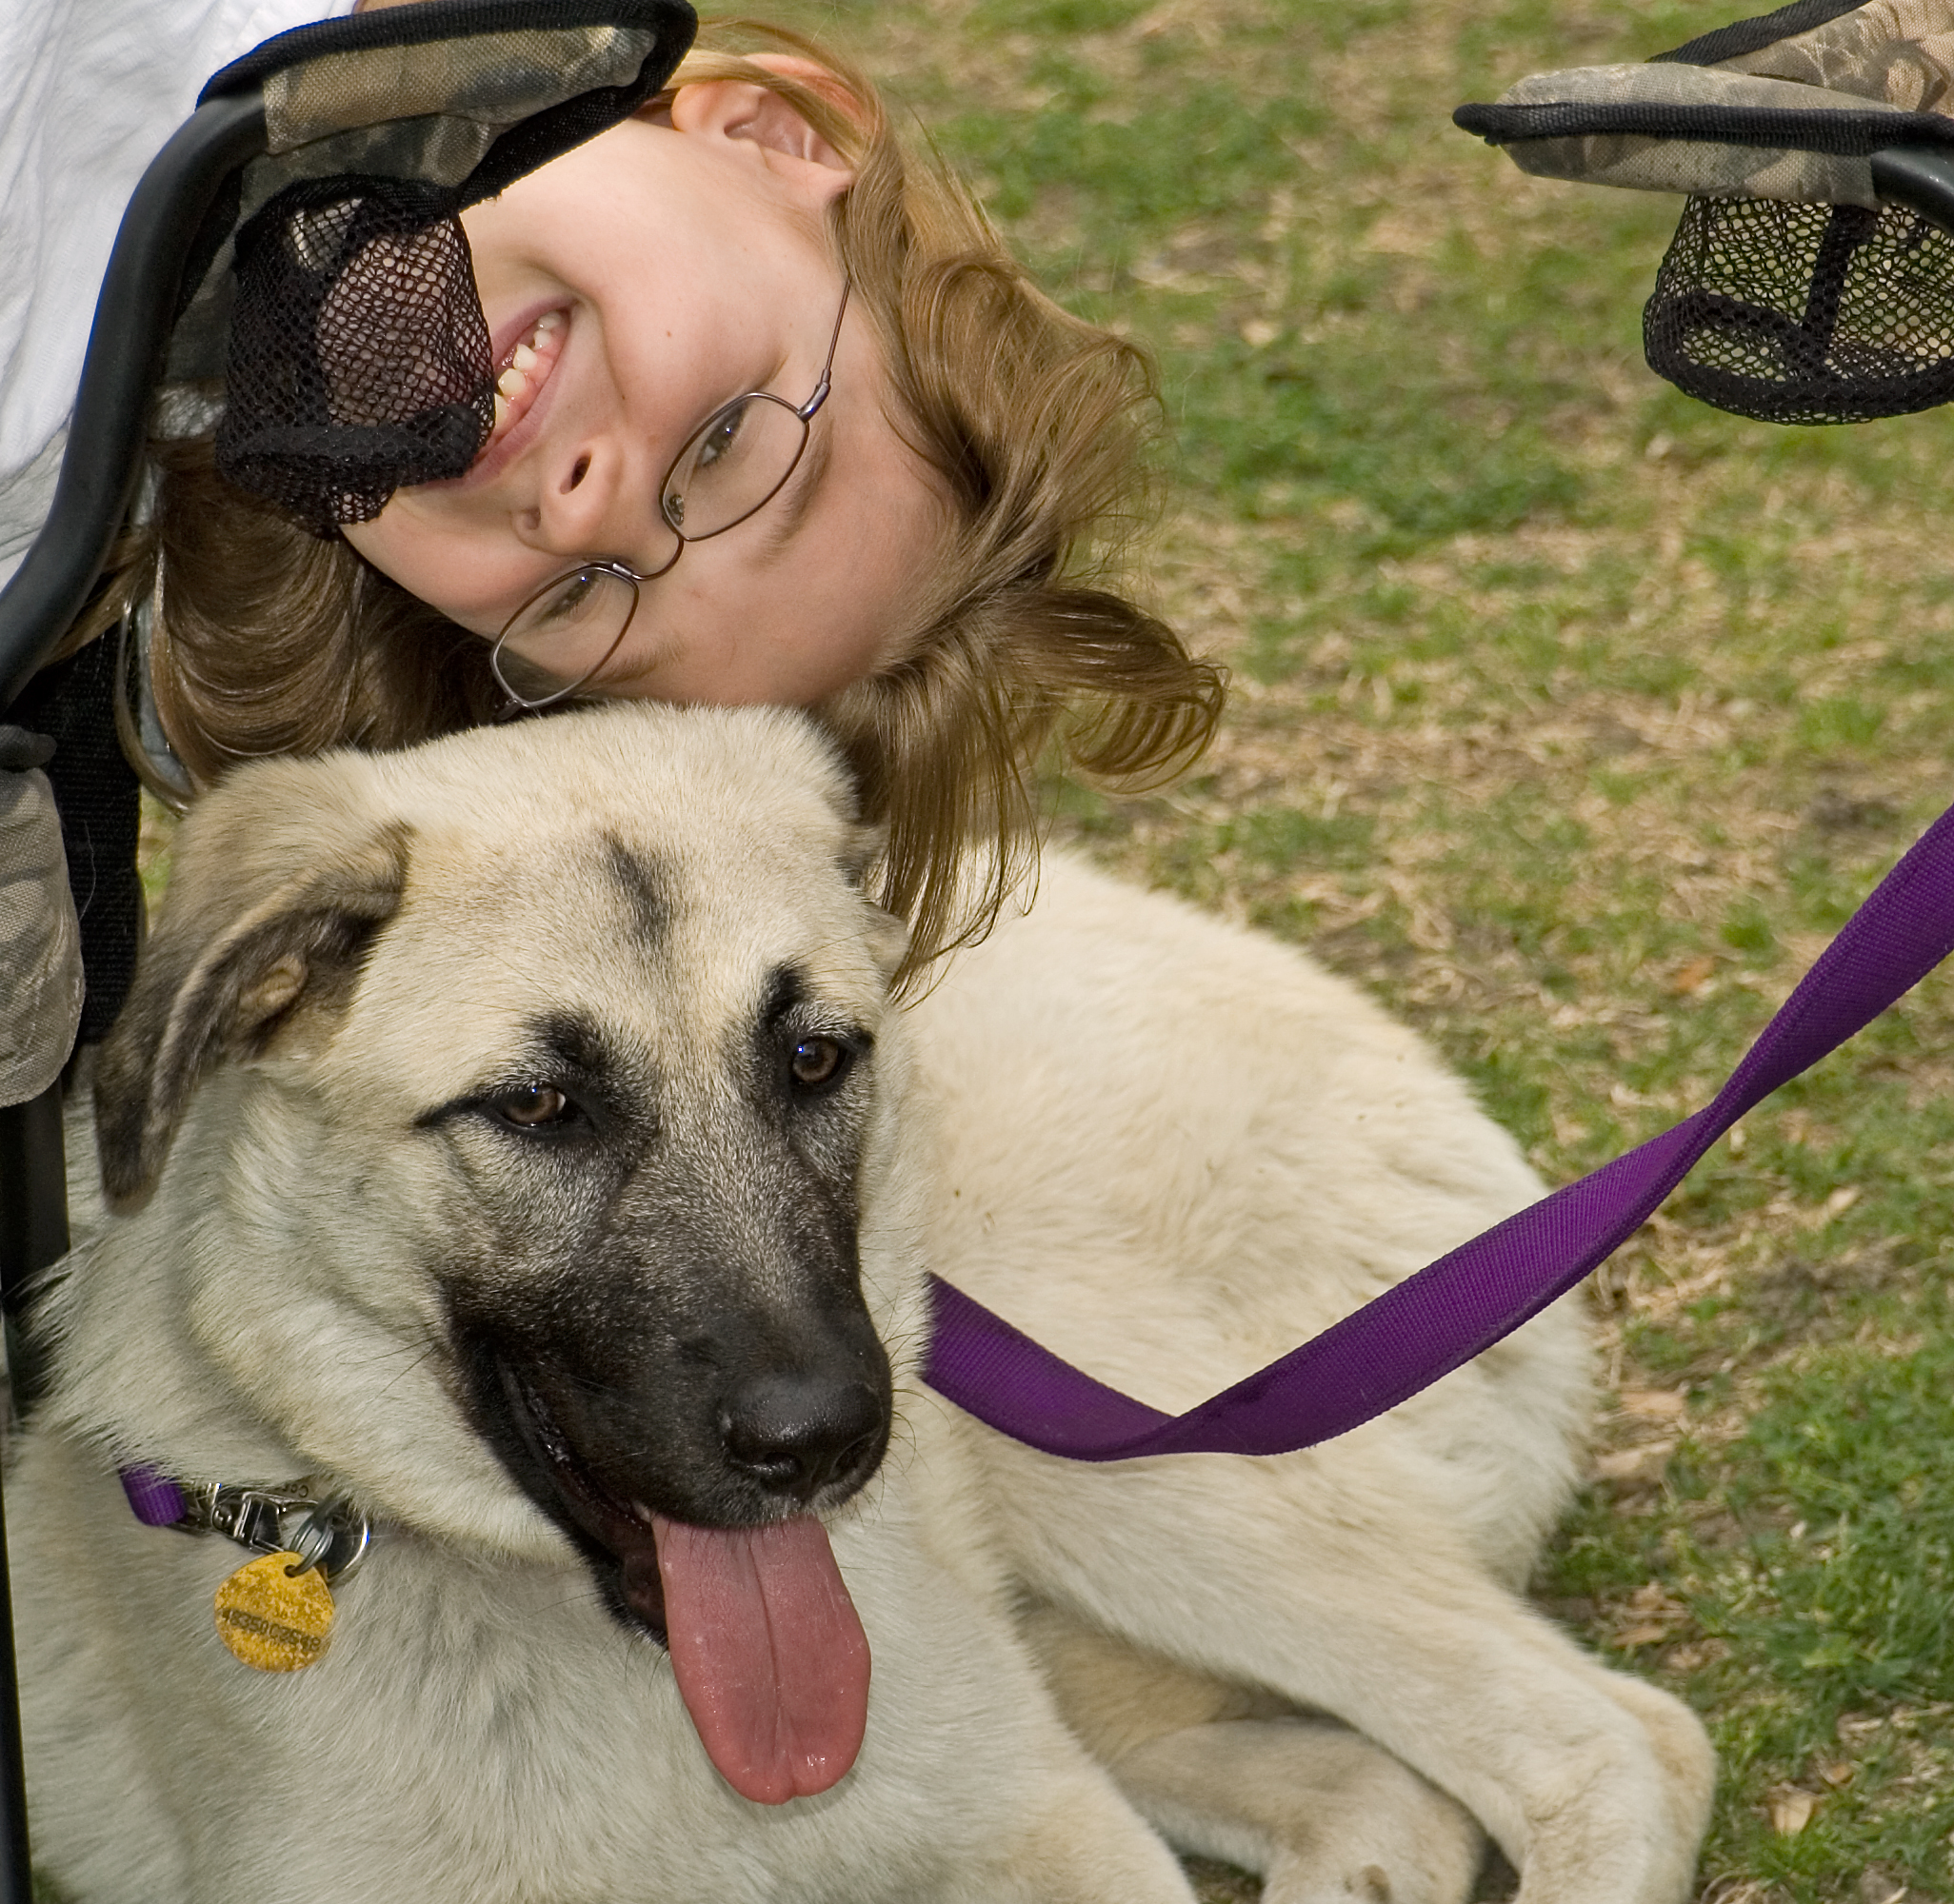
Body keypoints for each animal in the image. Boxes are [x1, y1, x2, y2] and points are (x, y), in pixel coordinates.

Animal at [4, 703, 1711, 1904]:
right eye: (541, 1105)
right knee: (1393, 1792)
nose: (823, 1443)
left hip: (1123, 1451)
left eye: (815, 1058)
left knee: (1615, 1744)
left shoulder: (1042, 1824)